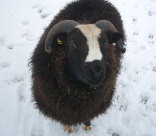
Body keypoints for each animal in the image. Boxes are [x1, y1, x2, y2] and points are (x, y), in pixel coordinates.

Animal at [30, 0, 125, 133]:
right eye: (71, 45)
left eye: (106, 44)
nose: (96, 70)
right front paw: (69, 127)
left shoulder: (91, 107)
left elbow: (87, 117)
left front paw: (87, 126)